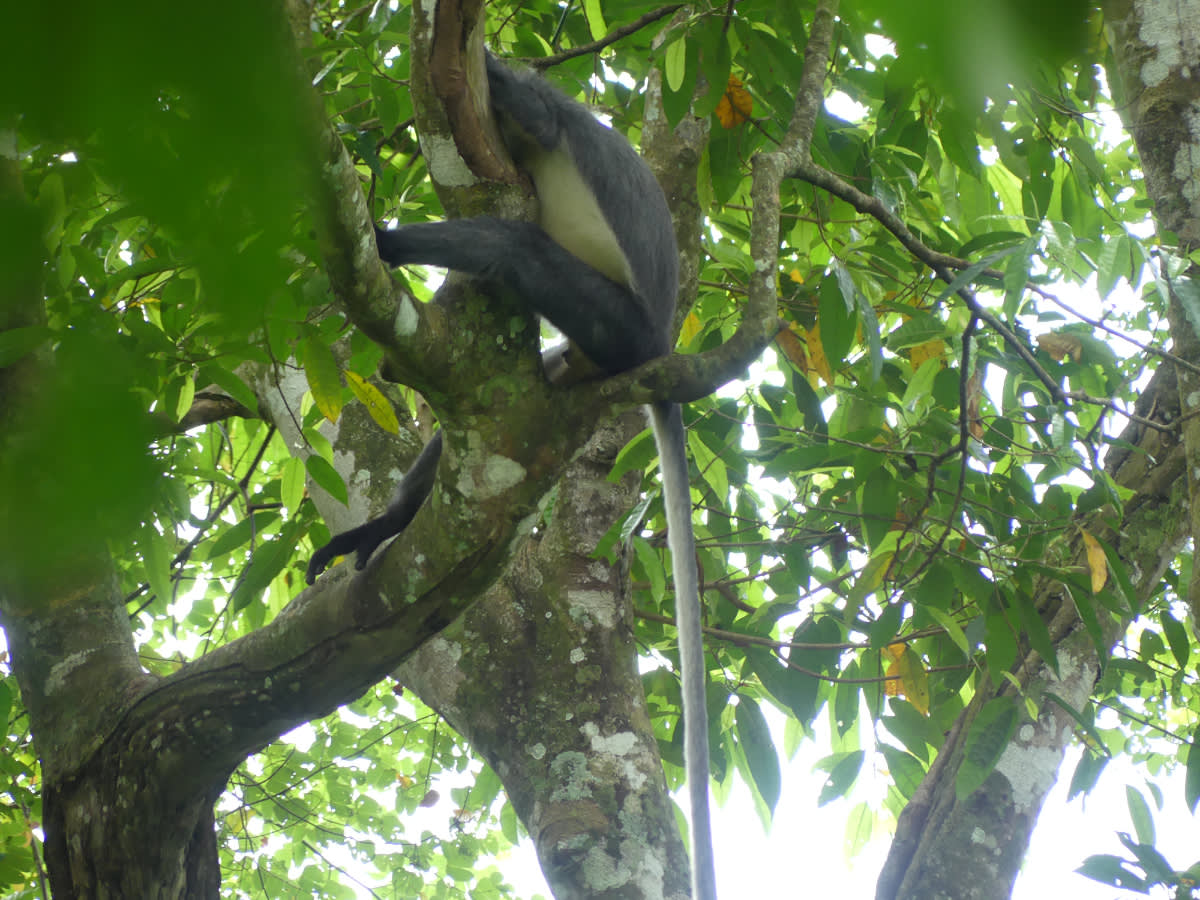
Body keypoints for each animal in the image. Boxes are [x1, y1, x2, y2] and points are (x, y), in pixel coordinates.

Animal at [307, 54, 717, 900]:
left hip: (615, 323)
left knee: (515, 247)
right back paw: (383, 529)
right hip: (582, 355)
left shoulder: (545, 111)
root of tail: (660, 342)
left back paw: (391, 246)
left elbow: (531, 122)